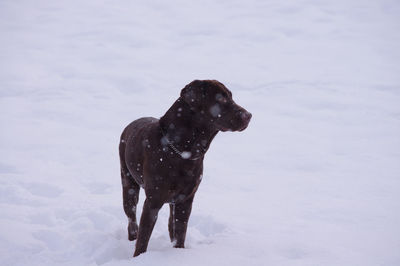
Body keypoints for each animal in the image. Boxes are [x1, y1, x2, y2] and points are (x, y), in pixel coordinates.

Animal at [119, 79, 252, 256]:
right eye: (221, 98)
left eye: (231, 96)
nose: (249, 115)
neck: (182, 151)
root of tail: (129, 125)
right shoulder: (153, 201)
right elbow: (143, 238)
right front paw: (139, 257)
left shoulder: (186, 199)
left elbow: (180, 232)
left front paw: (178, 253)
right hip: (128, 183)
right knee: (131, 217)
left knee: (171, 224)